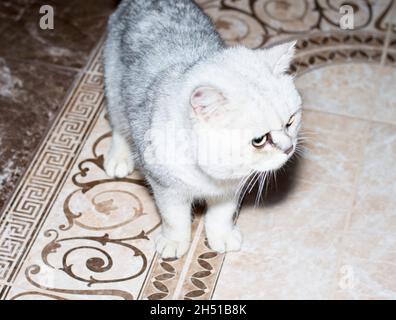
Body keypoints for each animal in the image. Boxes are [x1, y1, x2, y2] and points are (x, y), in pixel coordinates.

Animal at [103, 0, 302, 258]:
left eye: (290, 121)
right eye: (259, 140)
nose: (289, 148)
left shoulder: (231, 188)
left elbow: (221, 215)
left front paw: (222, 236)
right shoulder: (165, 186)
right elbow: (174, 218)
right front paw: (174, 241)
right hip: (114, 88)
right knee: (118, 124)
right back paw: (118, 158)